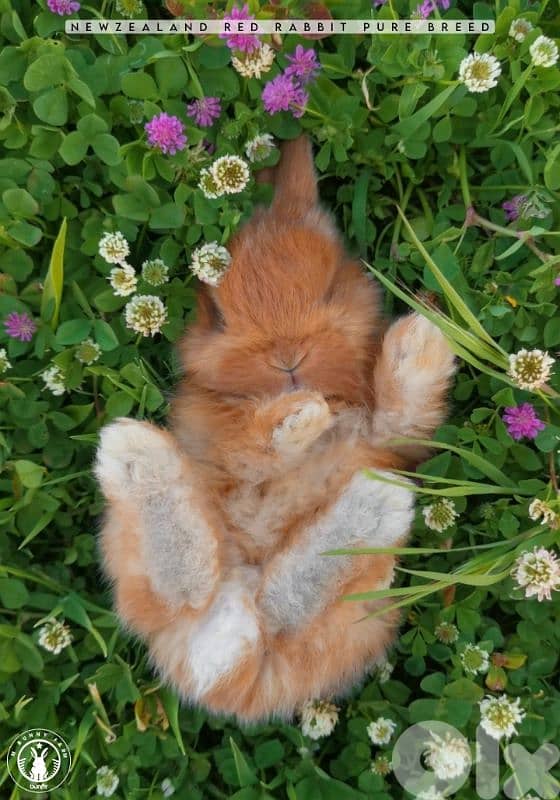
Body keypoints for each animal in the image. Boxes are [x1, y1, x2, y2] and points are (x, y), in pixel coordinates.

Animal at [95, 135, 456, 722]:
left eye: (333, 285)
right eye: (216, 315)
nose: (289, 357)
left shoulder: (390, 440)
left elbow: (403, 411)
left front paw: (423, 337)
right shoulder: (226, 444)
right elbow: (257, 445)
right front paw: (300, 414)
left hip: (349, 614)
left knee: (280, 609)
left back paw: (374, 506)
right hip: (139, 558)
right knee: (183, 593)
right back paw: (135, 454)